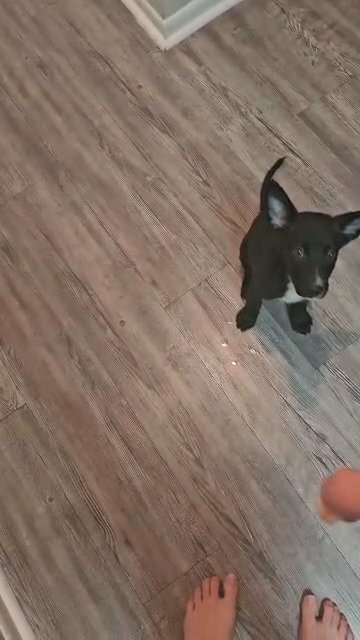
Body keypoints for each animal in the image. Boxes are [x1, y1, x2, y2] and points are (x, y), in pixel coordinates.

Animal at [236, 159, 360, 336]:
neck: (288, 277)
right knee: (247, 268)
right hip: (245, 249)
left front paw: (299, 319)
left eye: (331, 253)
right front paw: (247, 317)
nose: (316, 290)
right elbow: (254, 301)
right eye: (299, 252)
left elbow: (300, 303)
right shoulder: (259, 283)